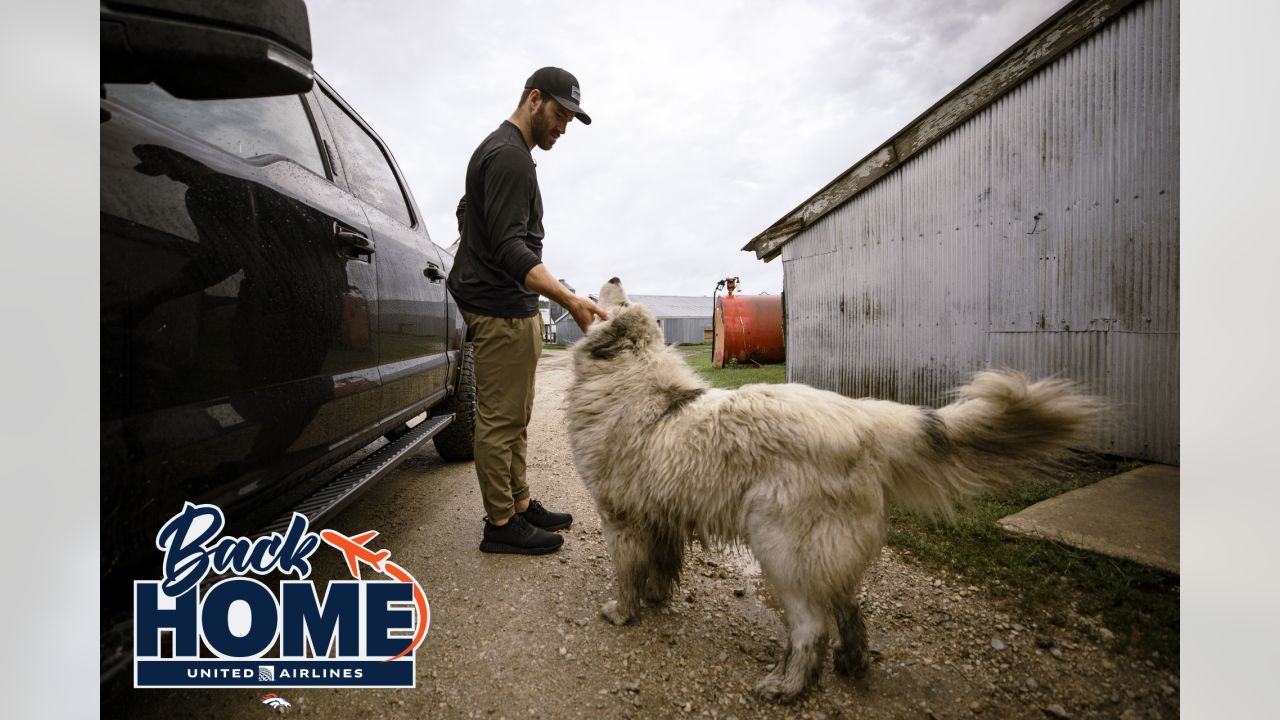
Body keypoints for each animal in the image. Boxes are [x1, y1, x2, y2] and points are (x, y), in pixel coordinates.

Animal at [568, 275, 1100, 702]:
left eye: (619, 299)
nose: (613, 276)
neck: (633, 379)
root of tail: (861, 418)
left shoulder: (619, 517)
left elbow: (627, 572)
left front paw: (623, 611)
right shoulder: (660, 515)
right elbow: (659, 567)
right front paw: (656, 600)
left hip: (780, 545)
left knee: (811, 626)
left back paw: (788, 685)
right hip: (827, 547)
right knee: (849, 607)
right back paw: (851, 662)